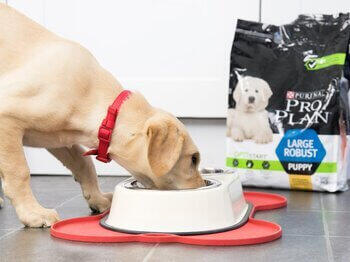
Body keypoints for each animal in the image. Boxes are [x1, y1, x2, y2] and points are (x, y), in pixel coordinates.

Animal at [0, 4, 205, 227]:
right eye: (193, 159)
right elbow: (19, 171)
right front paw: (33, 213)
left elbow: (85, 165)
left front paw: (97, 199)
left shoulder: (60, 139)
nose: (203, 185)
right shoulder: (7, 119)